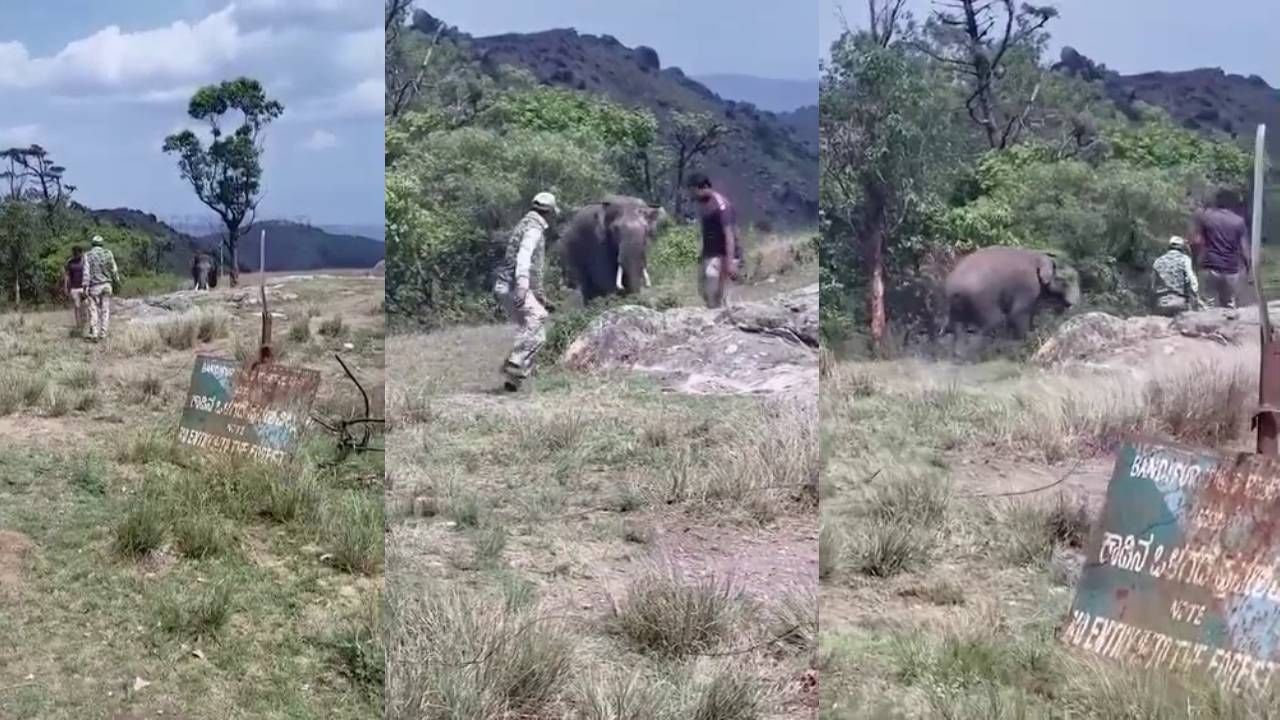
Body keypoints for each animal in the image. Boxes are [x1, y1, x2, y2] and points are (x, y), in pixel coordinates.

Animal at [942, 244, 1080, 340]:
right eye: (1065, 280)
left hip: (957, 304)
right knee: (994, 320)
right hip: (980, 296)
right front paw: (1027, 338)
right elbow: (1017, 313)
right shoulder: (1026, 285)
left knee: (957, 326)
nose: (1071, 306)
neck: (1038, 254)